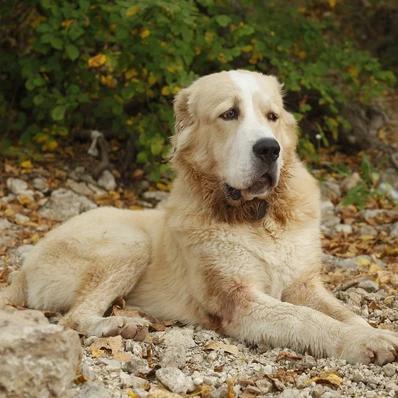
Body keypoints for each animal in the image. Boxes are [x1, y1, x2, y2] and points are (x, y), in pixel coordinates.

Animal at [0, 70, 398, 364]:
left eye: (272, 117)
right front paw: (362, 343)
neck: (257, 217)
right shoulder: (239, 301)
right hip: (129, 243)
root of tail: (22, 270)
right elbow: (306, 317)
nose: (270, 149)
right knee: (73, 318)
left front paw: (374, 332)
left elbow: (344, 311)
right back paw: (120, 327)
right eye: (229, 114)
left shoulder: (305, 286)